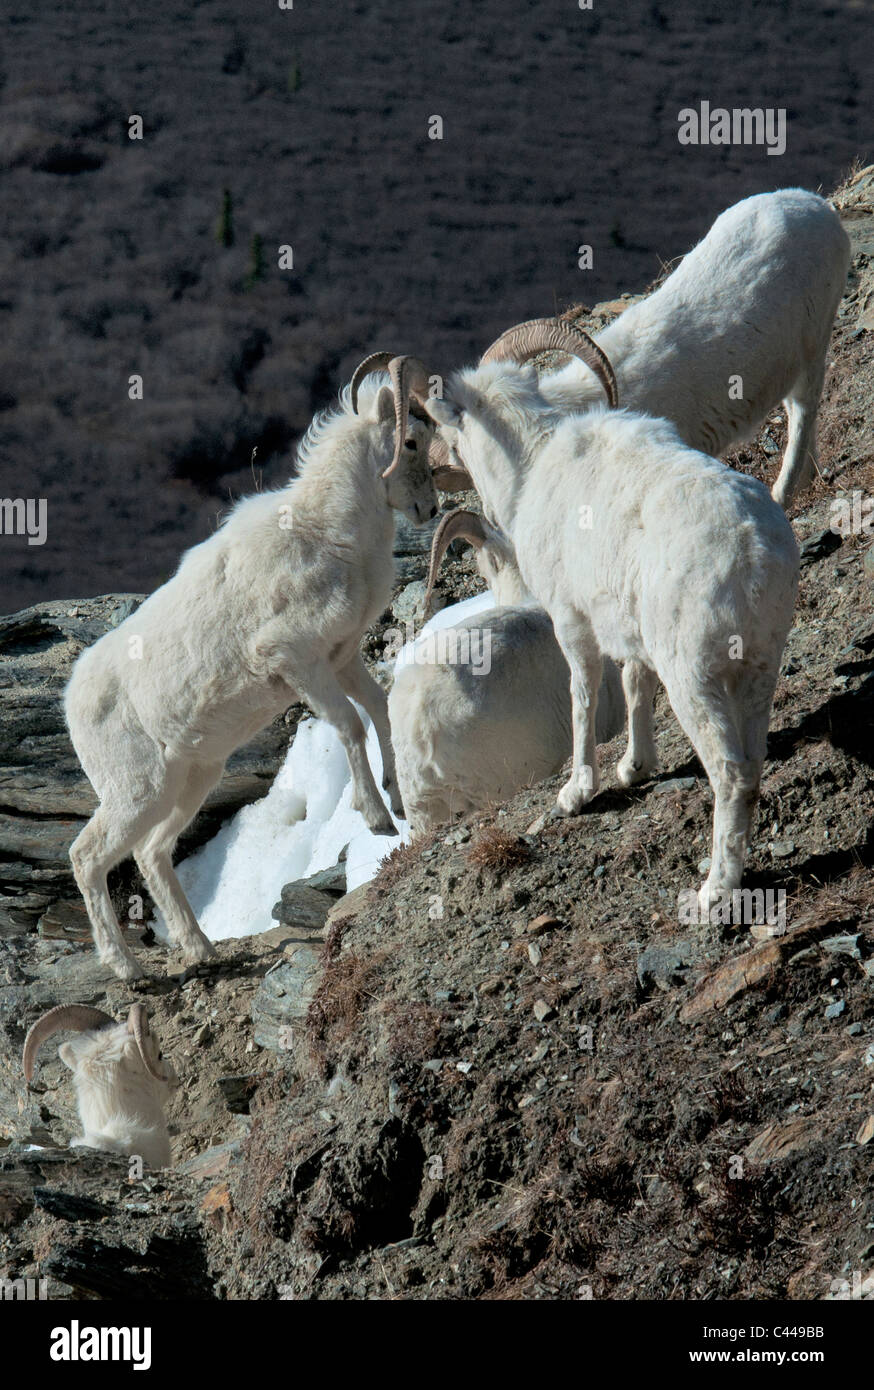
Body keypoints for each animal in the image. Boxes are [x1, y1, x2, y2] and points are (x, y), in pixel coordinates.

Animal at [64, 358, 439, 989]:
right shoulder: (297, 660)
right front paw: (377, 819)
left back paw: (201, 949)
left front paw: (398, 799)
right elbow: (349, 724)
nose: (430, 510)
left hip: (193, 779)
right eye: (410, 441)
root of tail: (72, 702)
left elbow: (380, 710)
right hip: (136, 791)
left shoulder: (341, 658)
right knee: (88, 856)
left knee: (151, 853)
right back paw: (129, 969)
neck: (329, 535)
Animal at [422, 323, 800, 911]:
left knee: (732, 774)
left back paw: (713, 892)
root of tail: (754, 551)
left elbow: (583, 695)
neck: (534, 467)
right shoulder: (627, 629)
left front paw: (576, 794)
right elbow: (634, 683)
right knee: (754, 762)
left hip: (695, 680)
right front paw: (632, 769)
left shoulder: (571, 620)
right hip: (760, 666)